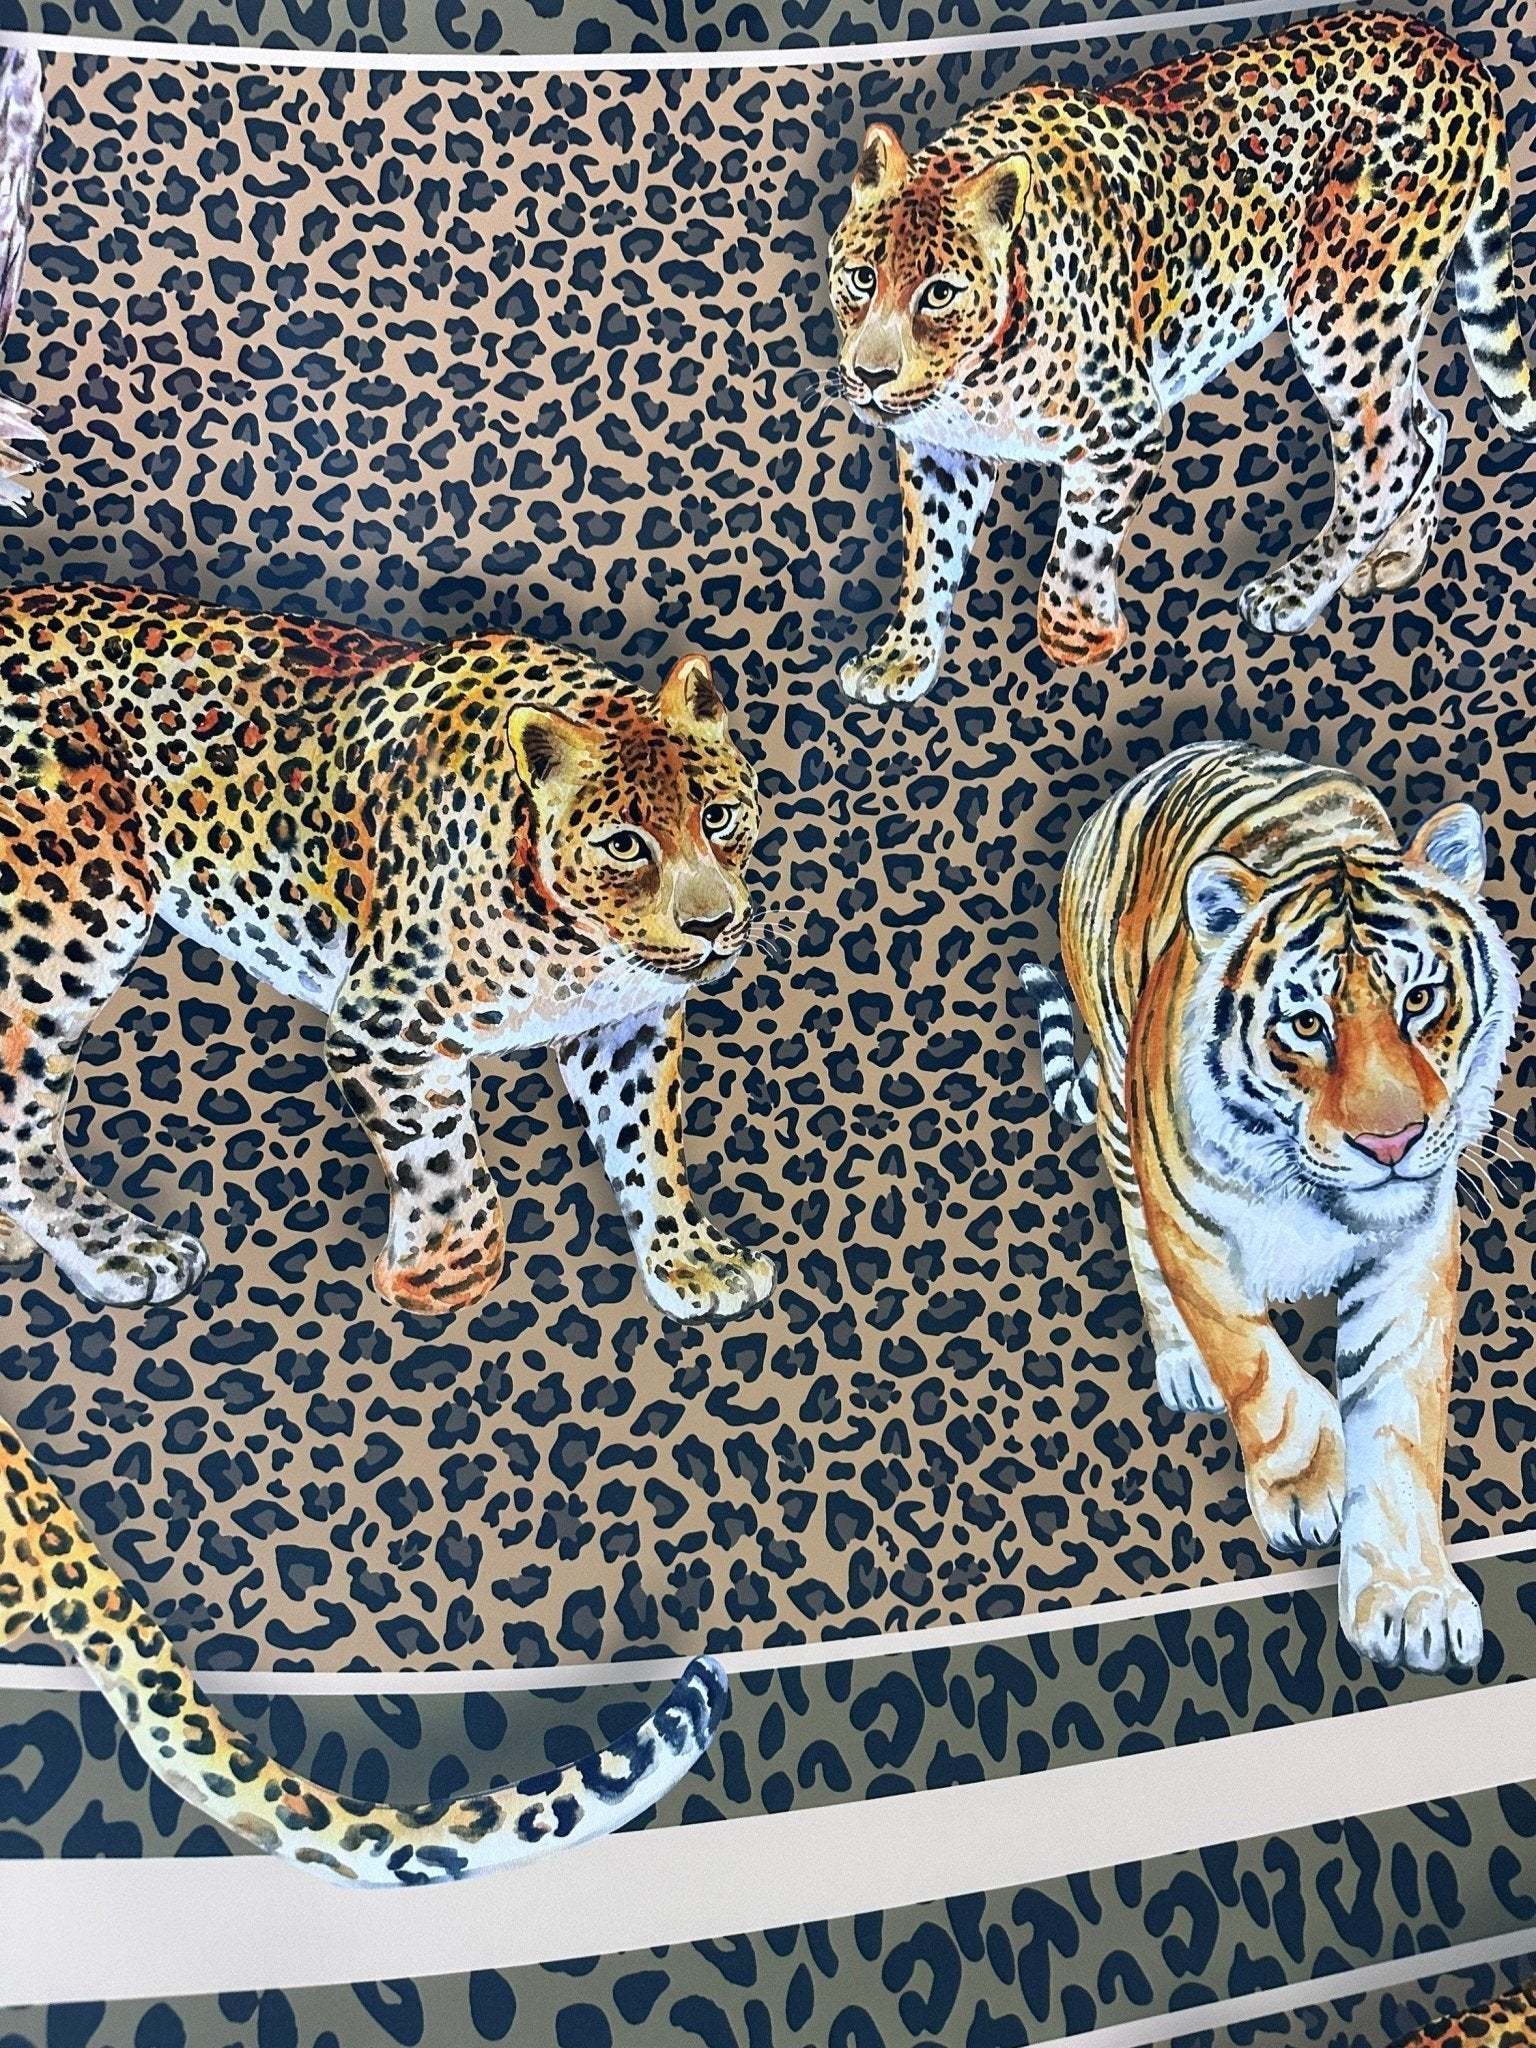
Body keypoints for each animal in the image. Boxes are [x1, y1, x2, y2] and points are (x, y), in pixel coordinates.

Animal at [0, 581, 777, 1324]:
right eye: (624, 844)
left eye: (719, 817)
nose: (714, 923)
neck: (585, 942)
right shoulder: (386, 1029)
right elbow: (446, 1164)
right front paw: (437, 1281)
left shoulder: (626, 1026)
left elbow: (646, 1141)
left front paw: (690, 1260)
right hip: (69, 923)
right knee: (20, 1124)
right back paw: (127, 1253)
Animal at [826, 9, 1536, 699]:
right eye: (861, 279)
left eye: (939, 293)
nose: (869, 376)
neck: (975, 372)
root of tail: (1451, 48)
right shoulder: (940, 449)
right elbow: (930, 550)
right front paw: (902, 657)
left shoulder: (1122, 430)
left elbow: (1076, 549)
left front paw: (1080, 640)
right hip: (1384, 323)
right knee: (1427, 423)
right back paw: (1396, 560)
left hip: (1344, 309)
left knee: (1388, 458)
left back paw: (1293, 591)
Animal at [1019, 742, 1518, 1674]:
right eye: (1307, 1024)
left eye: (1421, 1000)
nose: (1391, 1142)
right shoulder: (1193, 1232)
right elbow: (1256, 1370)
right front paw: (1309, 1490)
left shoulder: (1412, 1251)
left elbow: (1399, 1416)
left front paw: (1411, 1600)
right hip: (1120, 1115)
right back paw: (1183, 1367)